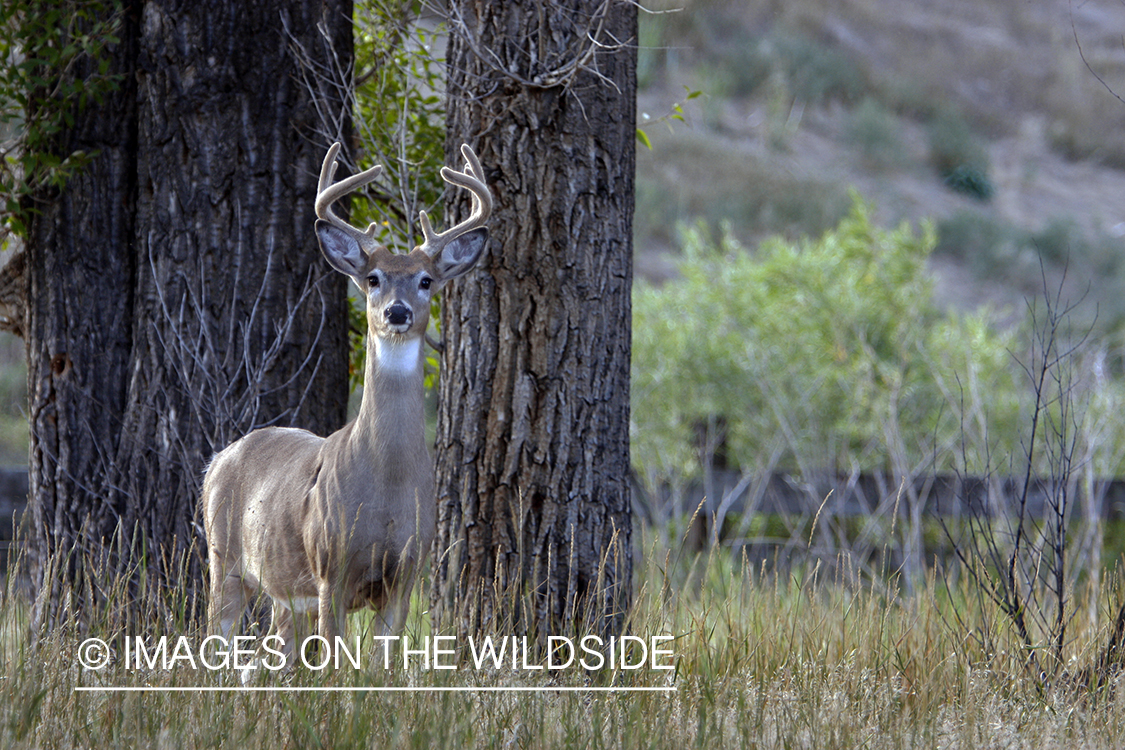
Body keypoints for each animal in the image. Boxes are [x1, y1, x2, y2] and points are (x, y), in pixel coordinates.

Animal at [203, 142, 492, 679]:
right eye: (373, 278)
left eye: (426, 280)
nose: (396, 312)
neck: (386, 485)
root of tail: (218, 460)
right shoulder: (329, 569)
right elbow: (337, 668)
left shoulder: (405, 576)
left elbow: (381, 667)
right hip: (224, 559)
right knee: (214, 645)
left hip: (282, 592)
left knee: (271, 659)